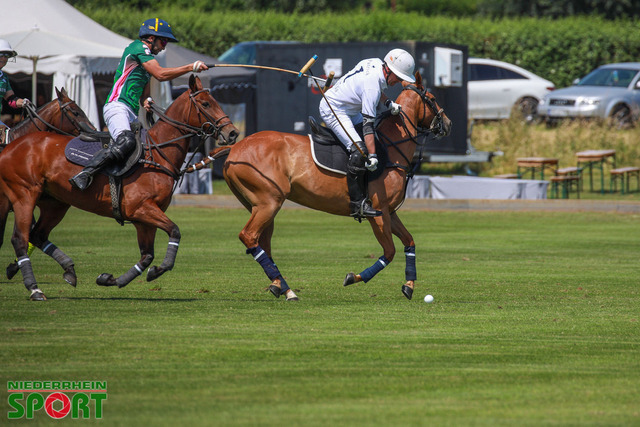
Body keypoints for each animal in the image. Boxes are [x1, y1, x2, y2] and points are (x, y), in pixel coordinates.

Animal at [0, 75, 238, 300]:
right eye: (206, 103)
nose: (233, 133)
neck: (158, 153)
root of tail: (9, 148)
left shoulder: (144, 218)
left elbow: (146, 256)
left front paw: (111, 279)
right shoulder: (141, 208)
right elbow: (174, 231)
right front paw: (160, 268)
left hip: (55, 203)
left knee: (38, 235)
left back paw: (69, 270)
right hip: (24, 195)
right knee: (20, 238)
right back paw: (34, 289)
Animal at [223, 72, 451, 301]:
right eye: (432, 98)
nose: (448, 124)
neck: (391, 148)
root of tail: (234, 150)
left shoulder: (389, 212)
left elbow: (409, 241)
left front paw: (409, 285)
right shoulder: (377, 213)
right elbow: (389, 252)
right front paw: (354, 277)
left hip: (258, 205)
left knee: (263, 241)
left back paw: (279, 285)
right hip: (269, 202)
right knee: (249, 236)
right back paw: (287, 289)